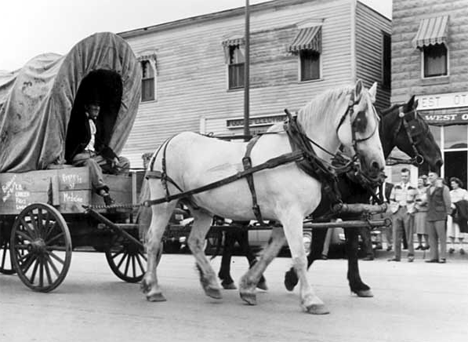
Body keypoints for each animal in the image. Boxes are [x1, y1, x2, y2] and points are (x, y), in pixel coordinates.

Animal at [140, 79, 384, 312]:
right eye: (360, 119)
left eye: (378, 119)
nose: (377, 165)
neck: (300, 152)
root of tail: (165, 144)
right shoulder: (292, 215)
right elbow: (300, 256)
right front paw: (310, 299)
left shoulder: (284, 218)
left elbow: (270, 253)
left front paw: (249, 286)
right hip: (164, 204)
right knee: (153, 240)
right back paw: (153, 287)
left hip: (202, 209)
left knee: (195, 241)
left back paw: (211, 283)